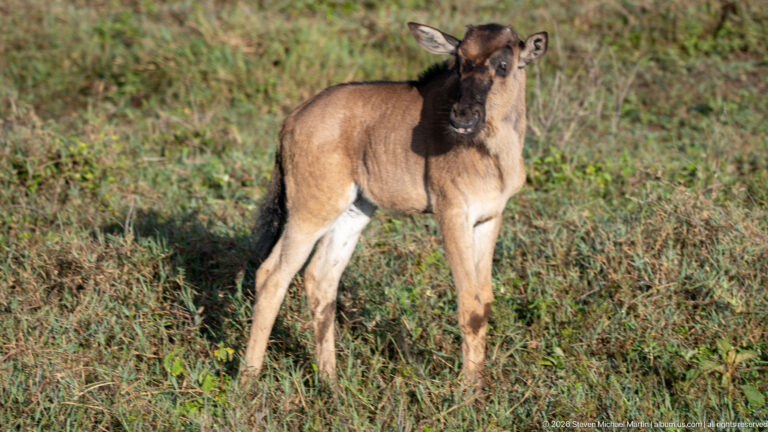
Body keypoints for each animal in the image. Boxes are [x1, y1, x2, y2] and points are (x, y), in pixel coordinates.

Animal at [244, 22, 548, 386]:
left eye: (503, 64)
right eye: (459, 61)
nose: (463, 118)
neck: (491, 151)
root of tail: (291, 122)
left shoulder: (489, 218)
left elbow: (484, 301)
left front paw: (477, 385)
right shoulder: (452, 214)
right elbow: (470, 305)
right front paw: (467, 392)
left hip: (354, 211)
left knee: (321, 279)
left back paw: (331, 382)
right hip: (311, 211)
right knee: (272, 275)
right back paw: (247, 382)